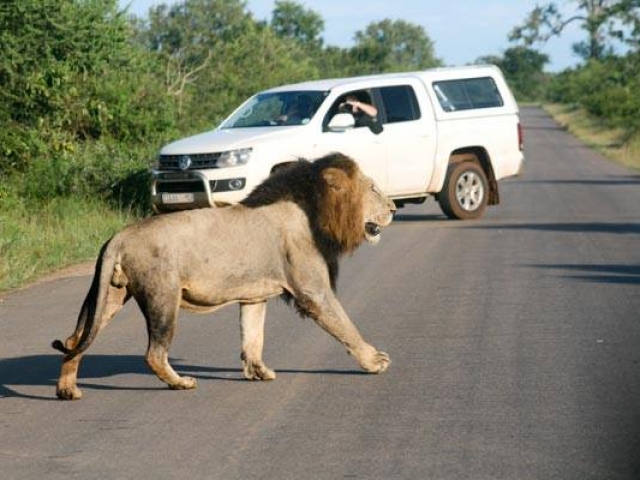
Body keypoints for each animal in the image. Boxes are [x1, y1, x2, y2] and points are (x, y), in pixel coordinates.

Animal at [52, 152, 396, 400]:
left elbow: (253, 336)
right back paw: (181, 383)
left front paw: (259, 372)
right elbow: (345, 326)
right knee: (154, 353)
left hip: (110, 294)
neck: (313, 209)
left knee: (74, 340)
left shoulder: (254, 295)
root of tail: (118, 238)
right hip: (163, 296)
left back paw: (67, 390)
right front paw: (374, 360)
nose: (393, 208)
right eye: (373, 188)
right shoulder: (313, 292)